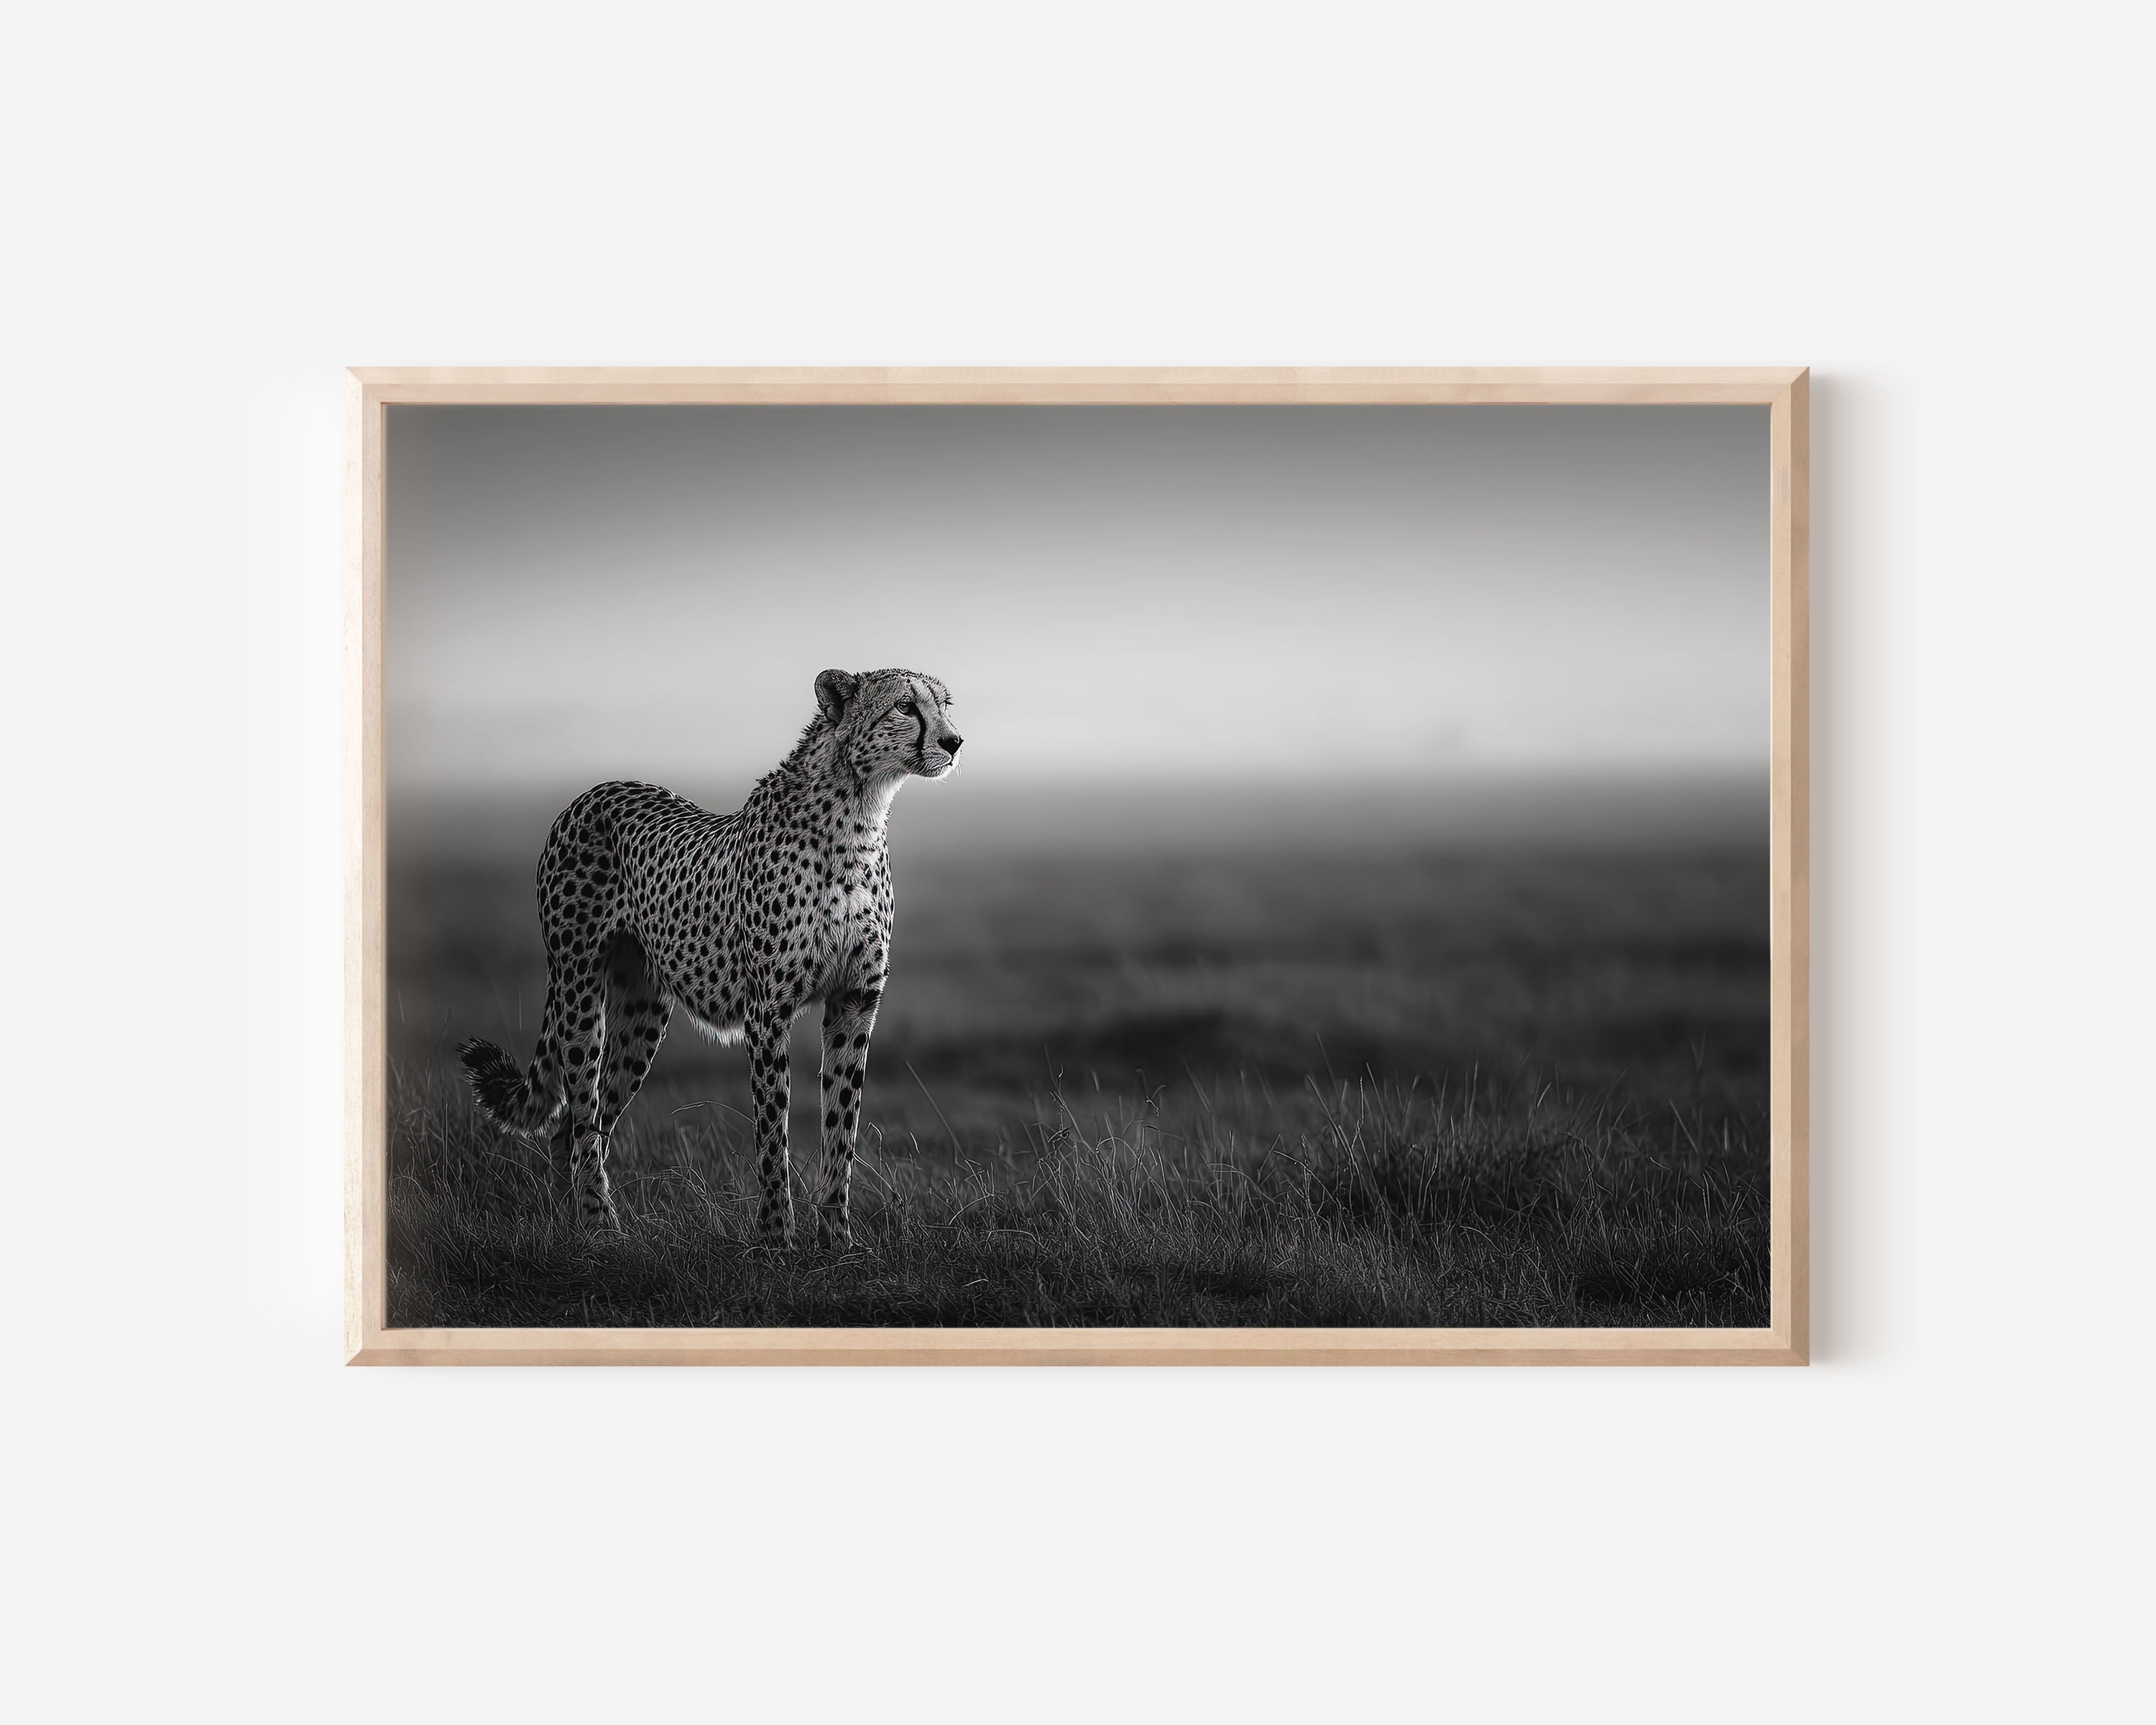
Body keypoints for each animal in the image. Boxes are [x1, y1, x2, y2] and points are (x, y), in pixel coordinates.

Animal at [456, 668, 962, 1247]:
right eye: (905, 706)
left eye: (945, 705)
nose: (954, 741)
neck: (859, 815)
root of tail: (594, 792)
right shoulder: (768, 1012)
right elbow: (772, 1130)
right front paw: (776, 1237)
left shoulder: (855, 1003)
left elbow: (842, 1127)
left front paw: (837, 1239)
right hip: (578, 987)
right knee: (581, 1109)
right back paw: (600, 1222)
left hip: (644, 1011)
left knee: (576, 1128)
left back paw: (580, 1224)